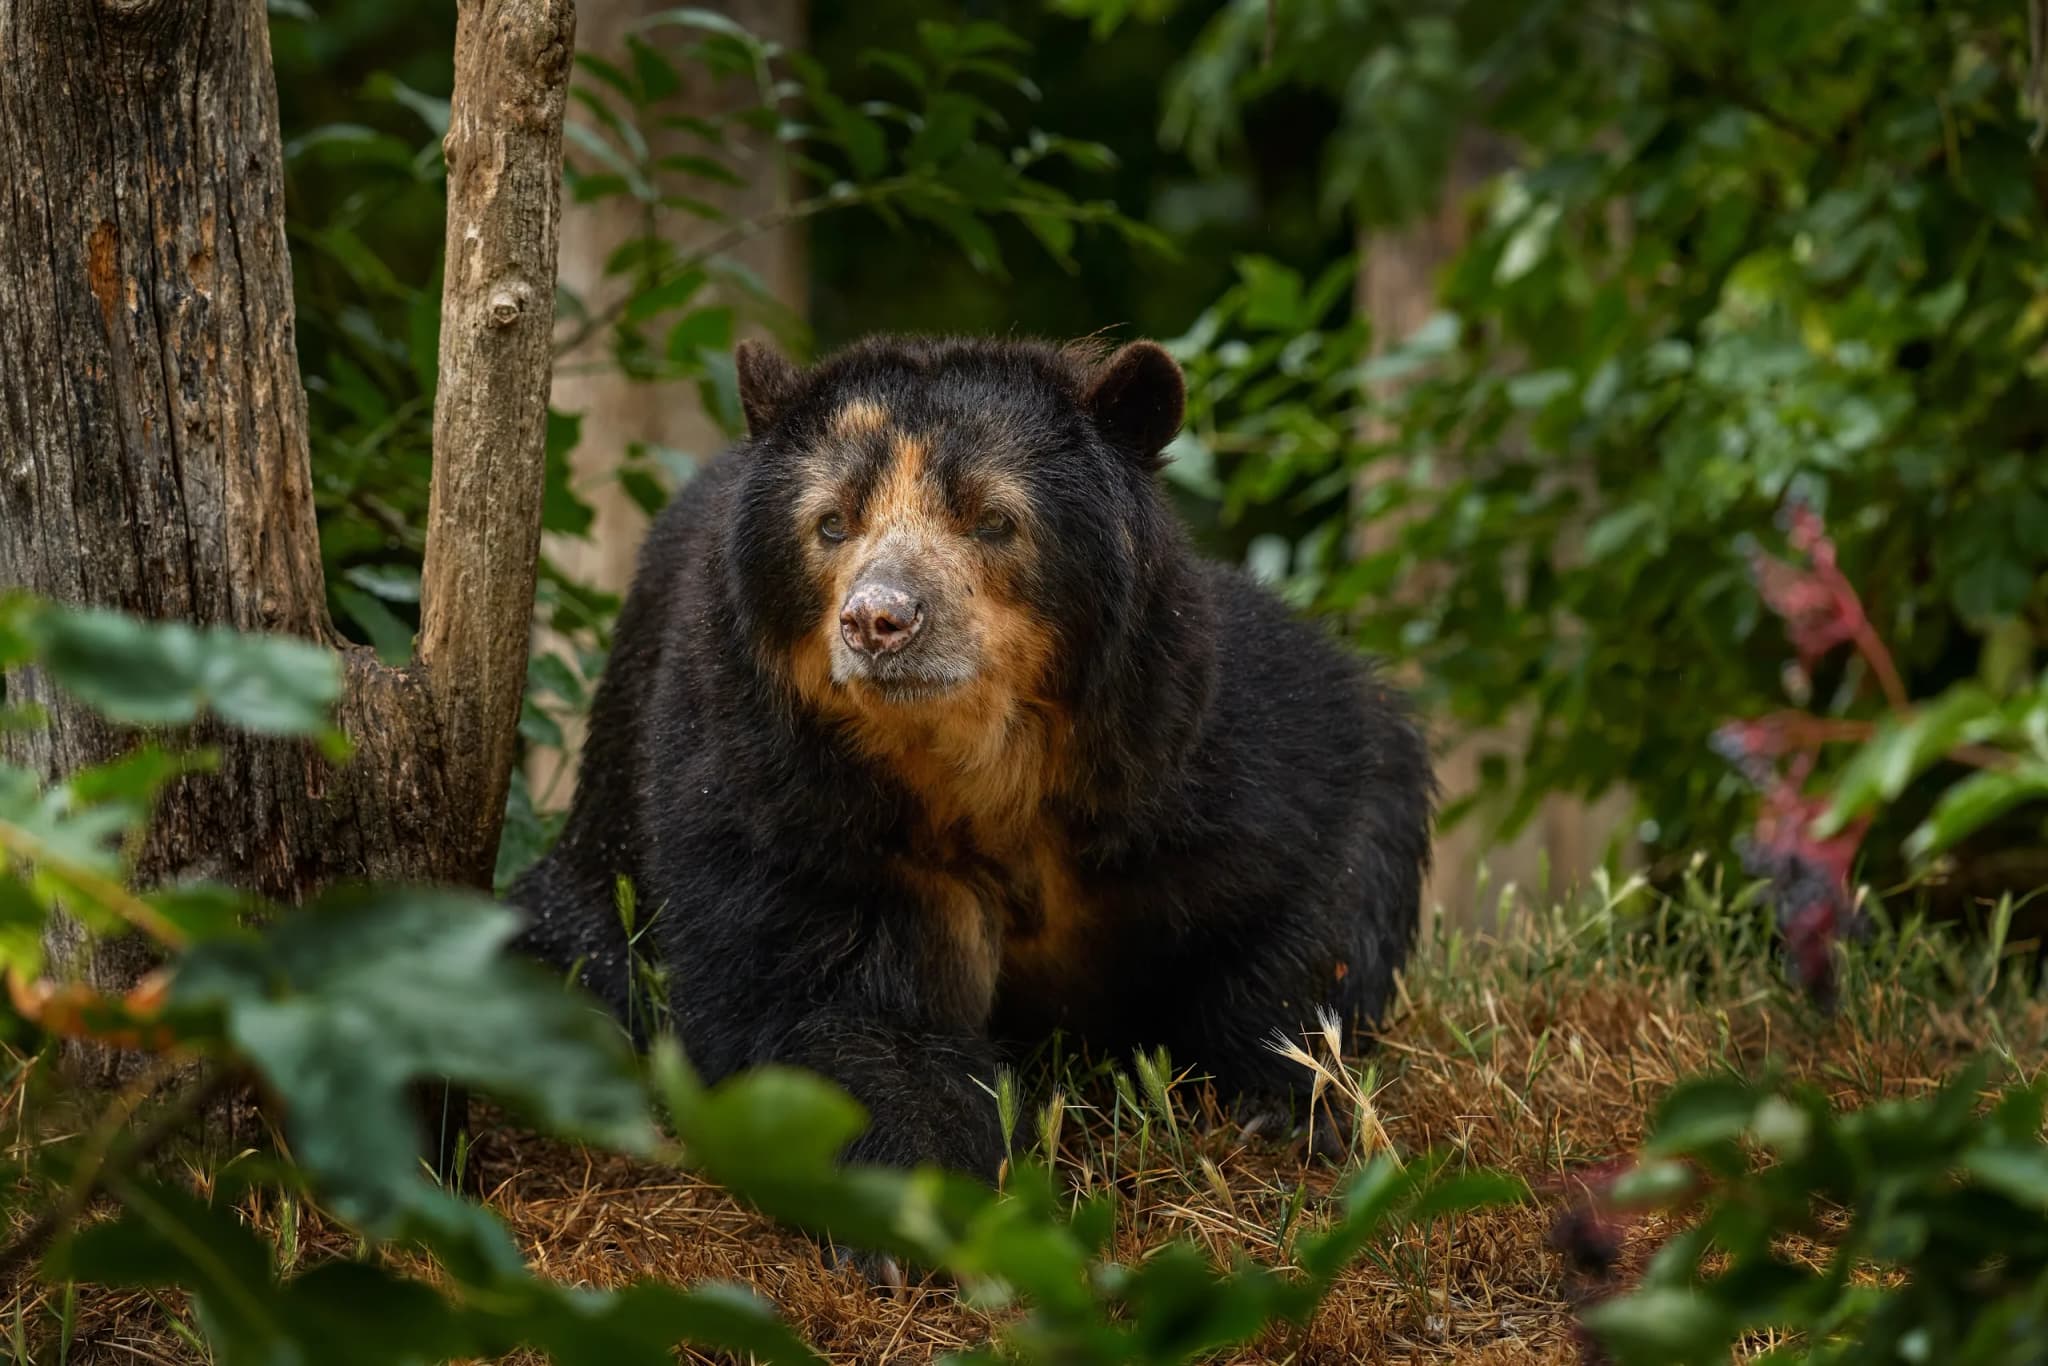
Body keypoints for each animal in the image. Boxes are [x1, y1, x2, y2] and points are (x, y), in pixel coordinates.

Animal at [510, 333, 1434, 1185]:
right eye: (832, 522)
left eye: (993, 518)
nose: (878, 620)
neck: (974, 760)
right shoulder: (773, 792)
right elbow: (815, 1000)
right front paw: (938, 1178)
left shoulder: (1180, 741)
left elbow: (1318, 840)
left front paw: (1284, 1102)